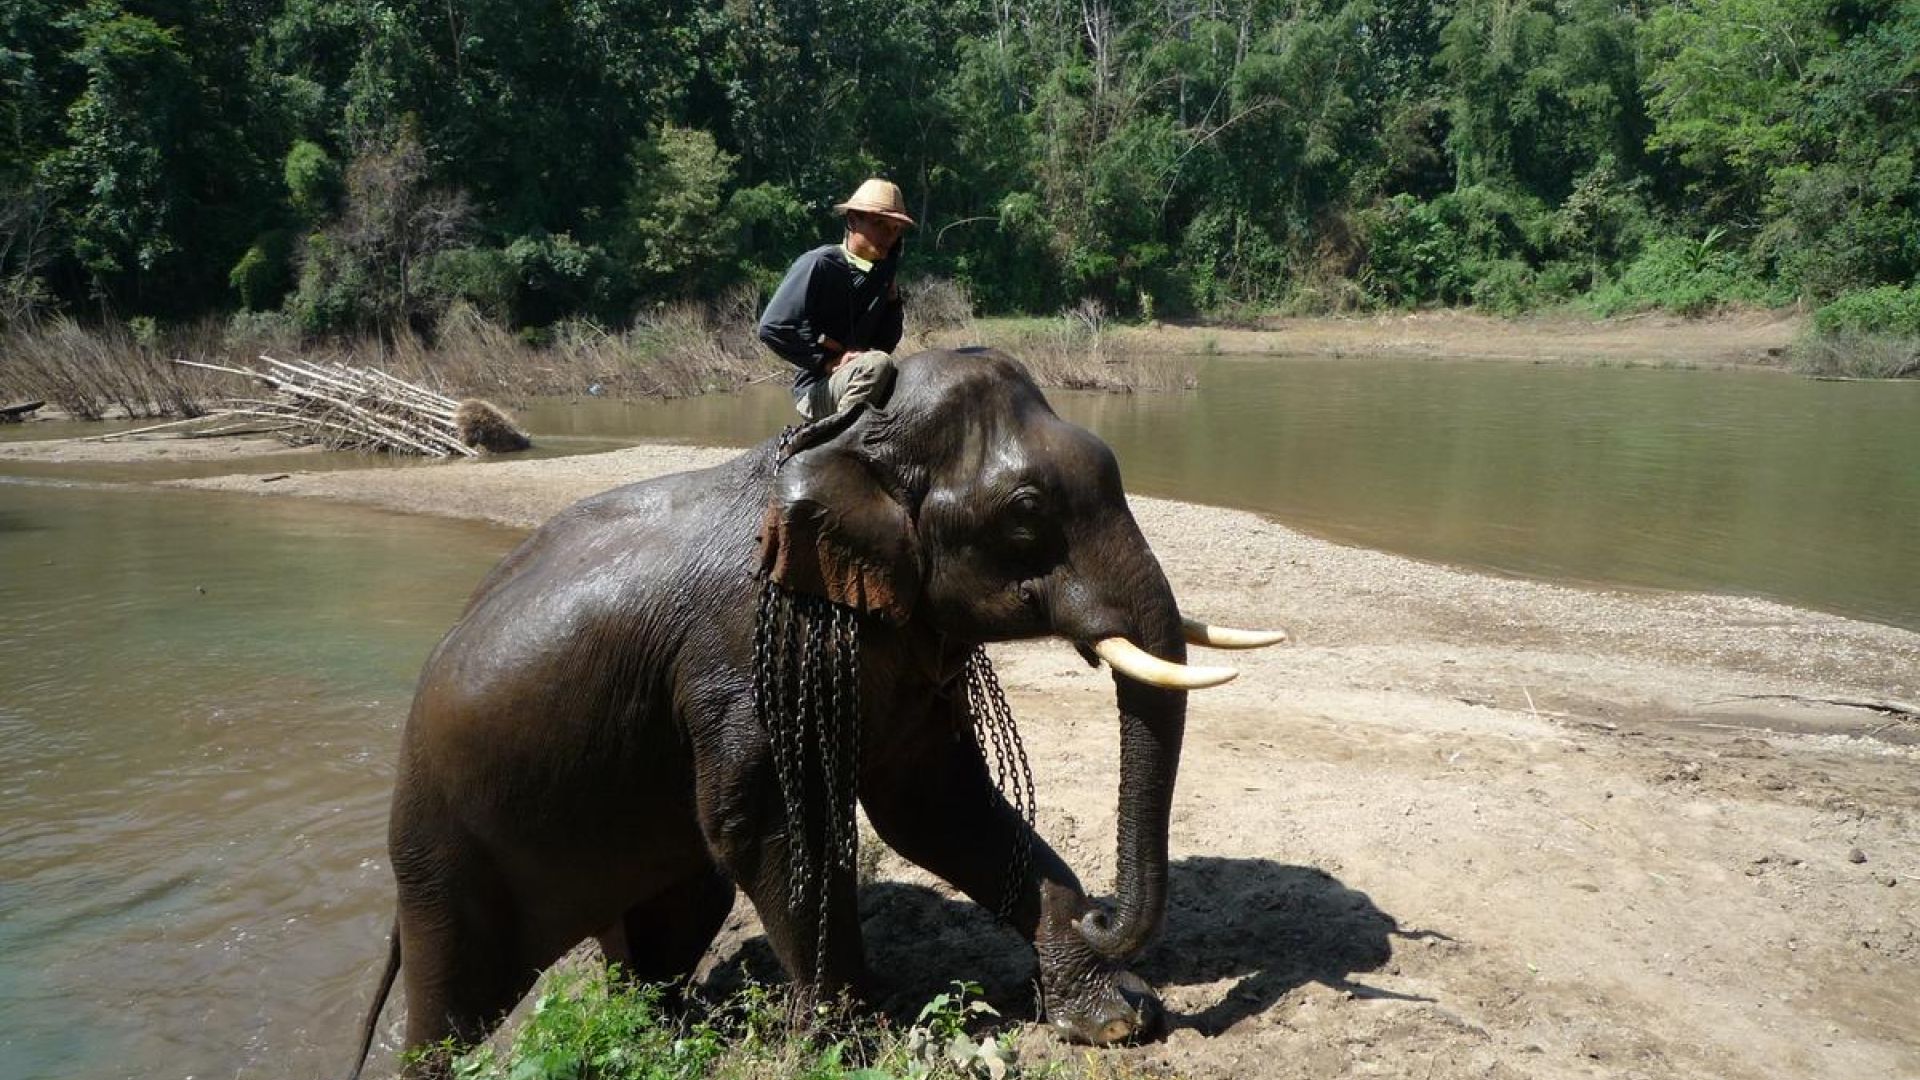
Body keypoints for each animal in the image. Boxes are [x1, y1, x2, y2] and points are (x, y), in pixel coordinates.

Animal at [345, 349, 1282, 1068]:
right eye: (1025, 515)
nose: (1103, 913)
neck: (843, 444)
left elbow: (936, 807)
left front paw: (1116, 1018)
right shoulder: (740, 661)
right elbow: (765, 824)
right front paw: (855, 1044)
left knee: (671, 920)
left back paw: (671, 1028)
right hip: (440, 857)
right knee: (450, 1007)